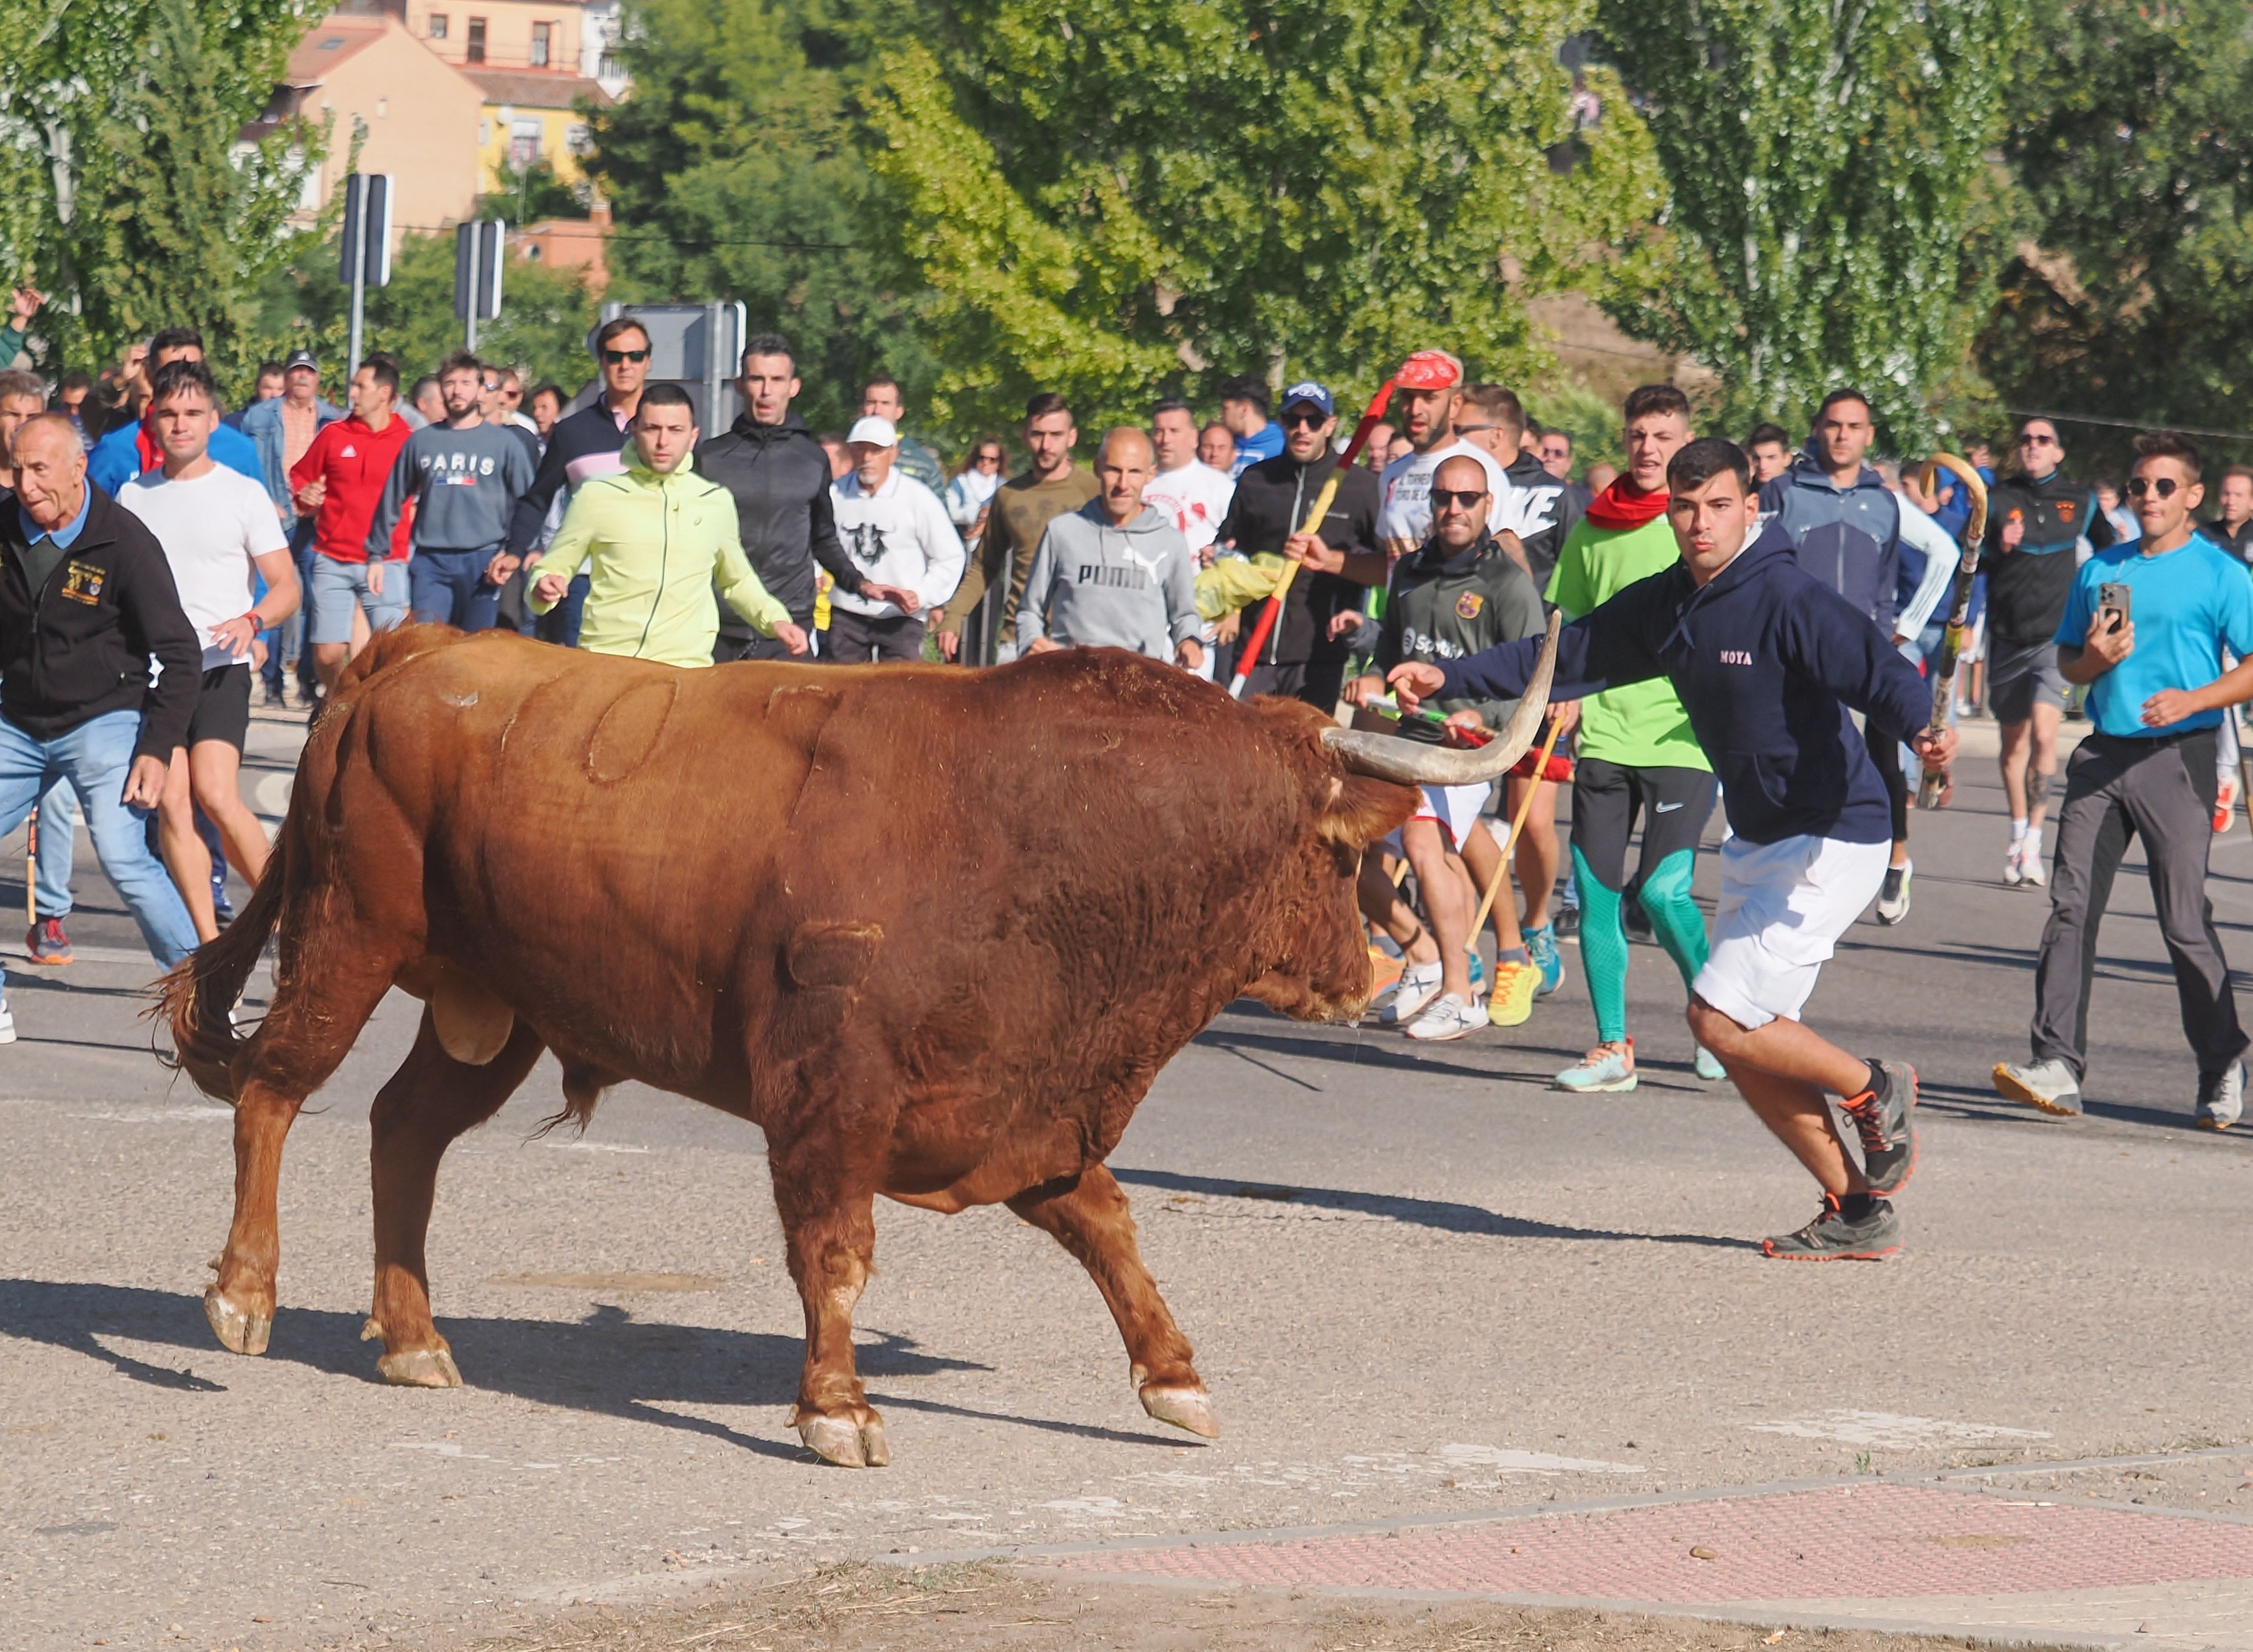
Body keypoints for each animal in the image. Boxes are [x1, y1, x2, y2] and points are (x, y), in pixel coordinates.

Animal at [159, 627, 1550, 1460]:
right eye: (1342, 852)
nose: (1364, 976)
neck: (1054, 835)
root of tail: (416, 646)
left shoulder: (1020, 1104)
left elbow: (1108, 1226)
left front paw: (1175, 1378)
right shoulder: (830, 1095)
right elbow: (835, 1254)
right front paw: (836, 1407)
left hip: (495, 1005)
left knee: (405, 1131)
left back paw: (413, 1339)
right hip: (351, 933)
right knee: (275, 1091)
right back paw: (243, 1297)